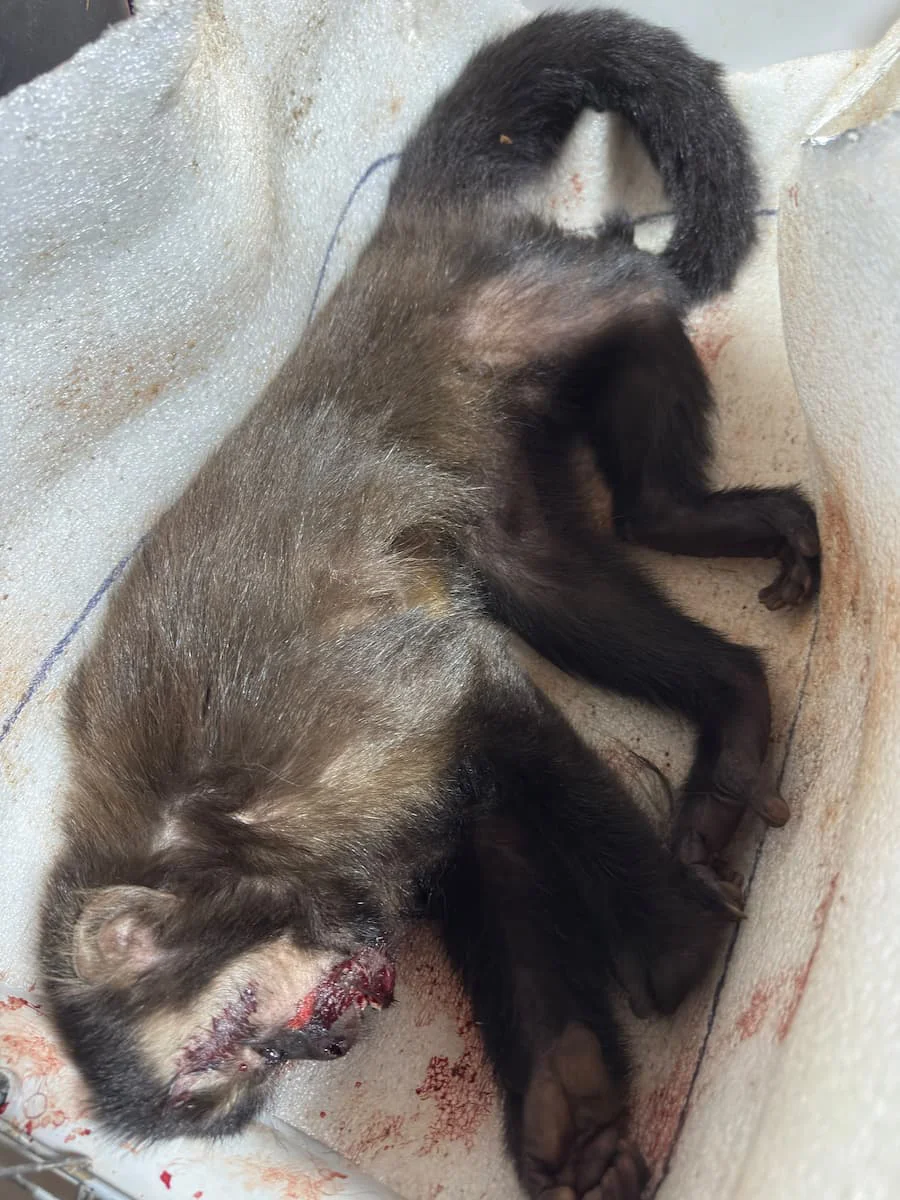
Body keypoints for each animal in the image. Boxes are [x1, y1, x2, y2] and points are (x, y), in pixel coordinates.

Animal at [38, 10, 819, 1198]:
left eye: (234, 1038)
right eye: (245, 1086)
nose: (324, 1040)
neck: (208, 837)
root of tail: (401, 239)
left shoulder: (303, 751)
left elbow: (477, 694)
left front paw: (672, 948)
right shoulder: (367, 844)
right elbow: (484, 831)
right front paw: (569, 1110)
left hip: (525, 306)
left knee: (643, 304)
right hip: (503, 440)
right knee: (539, 566)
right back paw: (727, 704)